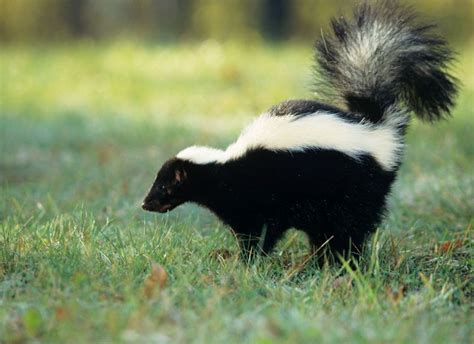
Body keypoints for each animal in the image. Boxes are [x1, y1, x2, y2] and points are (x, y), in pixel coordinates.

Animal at [143, 0, 458, 258]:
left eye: (164, 185)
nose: (145, 204)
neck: (224, 167)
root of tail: (374, 126)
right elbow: (258, 231)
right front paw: (252, 258)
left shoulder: (259, 198)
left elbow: (260, 232)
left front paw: (250, 260)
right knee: (327, 232)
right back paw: (321, 259)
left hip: (354, 190)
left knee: (352, 228)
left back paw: (345, 261)